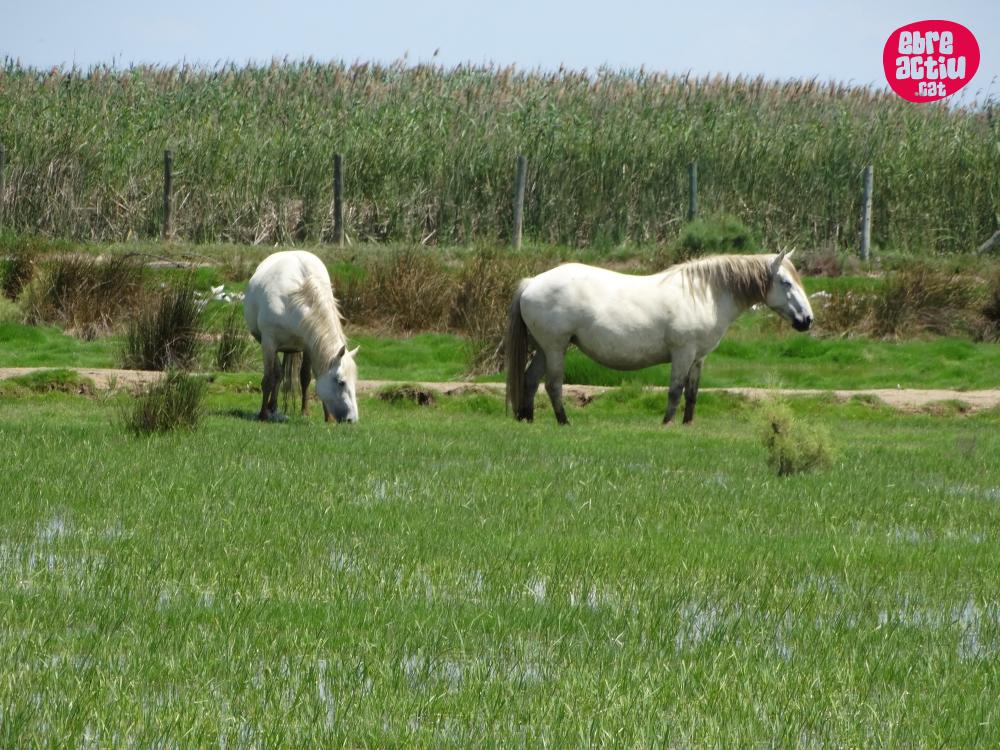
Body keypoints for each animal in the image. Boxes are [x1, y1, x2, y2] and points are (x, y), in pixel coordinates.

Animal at [244, 250, 359, 423]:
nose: (352, 419)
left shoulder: (309, 346)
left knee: (280, 374)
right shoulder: (268, 343)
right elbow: (268, 378)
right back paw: (269, 409)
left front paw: (312, 414)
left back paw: (273, 407)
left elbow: (305, 377)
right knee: (276, 374)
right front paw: (262, 415)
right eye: (341, 382)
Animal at [505, 250, 813, 426]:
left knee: (530, 380)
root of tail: (532, 282)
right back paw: (564, 422)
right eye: (786, 282)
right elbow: (675, 390)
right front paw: (666, 424)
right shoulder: (682, 353)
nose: (807, 320)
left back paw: (527, 419)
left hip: (544, 349)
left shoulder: (698, 358)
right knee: (553, 385)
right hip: (555, 348)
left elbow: (692, 392)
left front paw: (687, 425)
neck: (704, 294)